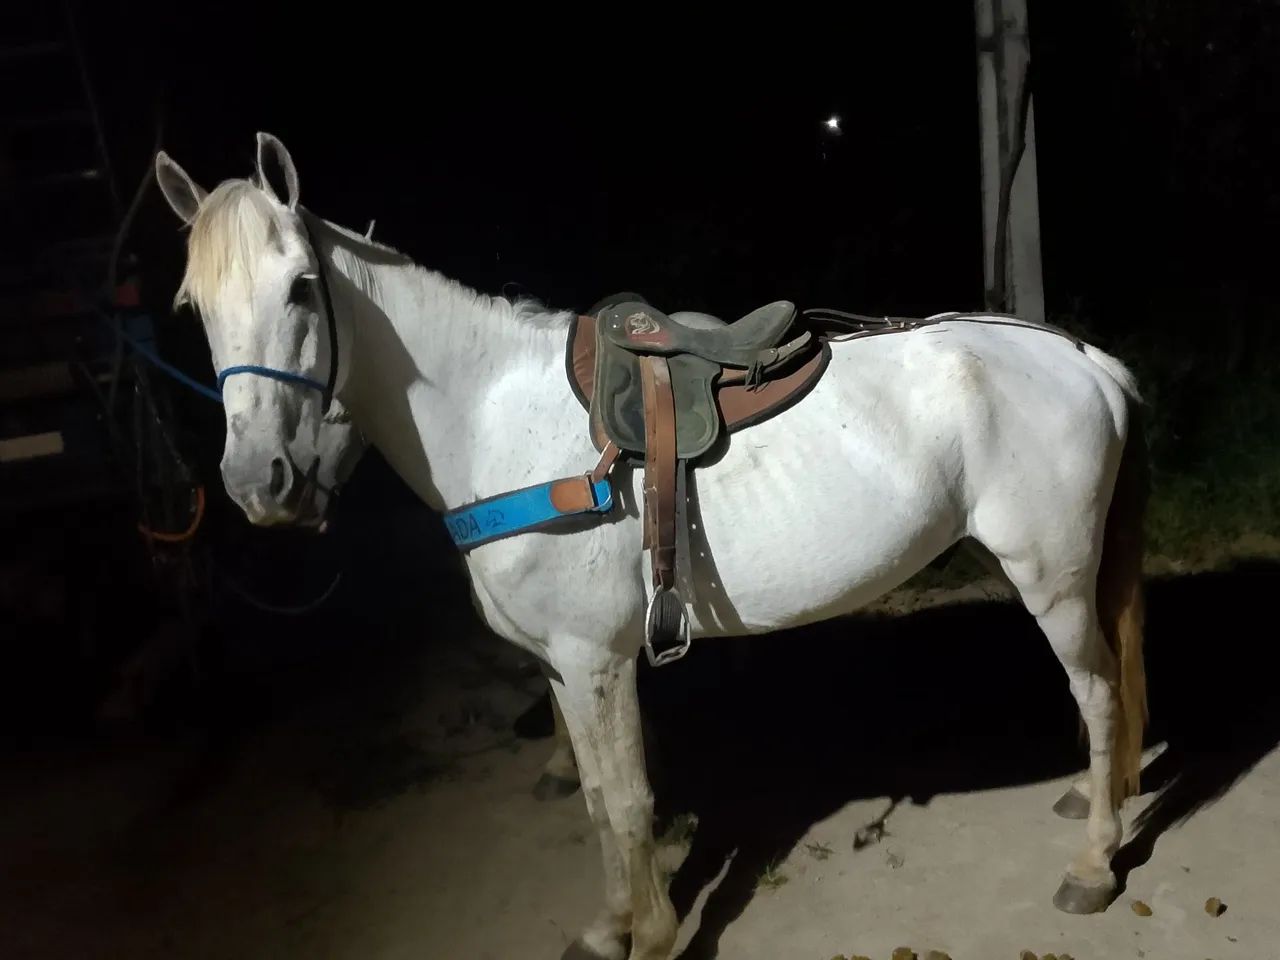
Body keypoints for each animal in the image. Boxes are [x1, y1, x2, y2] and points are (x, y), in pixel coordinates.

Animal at [154, 132, 1148, 960]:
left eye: (298, 287)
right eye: (193, 306)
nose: (259, 482)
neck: (494, 419)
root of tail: (1085, 359)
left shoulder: (598, 660)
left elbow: (631, 801)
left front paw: (657, 935)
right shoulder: (562, 665)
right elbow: (598, 802)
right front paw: (609, 925)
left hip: (1052, 576)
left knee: (1099, 691)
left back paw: (1093, 861)